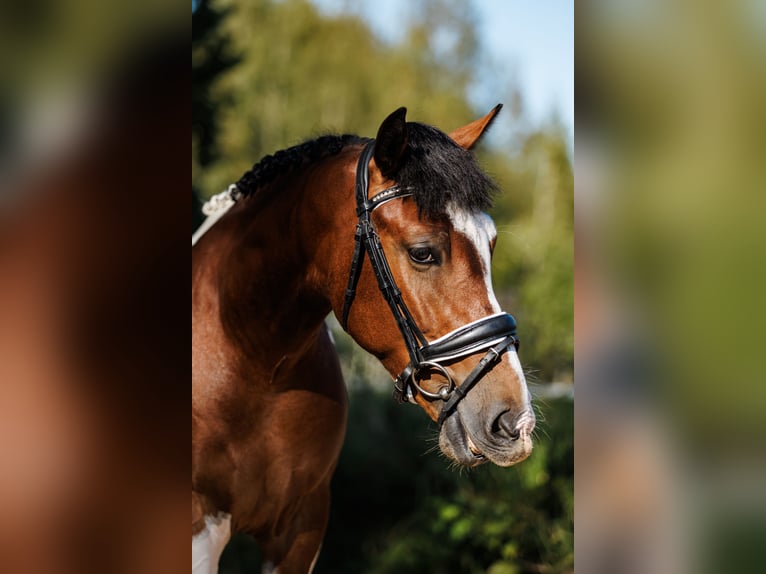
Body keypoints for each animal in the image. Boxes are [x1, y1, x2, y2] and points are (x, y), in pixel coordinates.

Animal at [192, 106, 536, 572]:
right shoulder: (199, 532)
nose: (515, 420)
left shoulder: (302, 527)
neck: (255, 363)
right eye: (422, 252)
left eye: (491, 244)